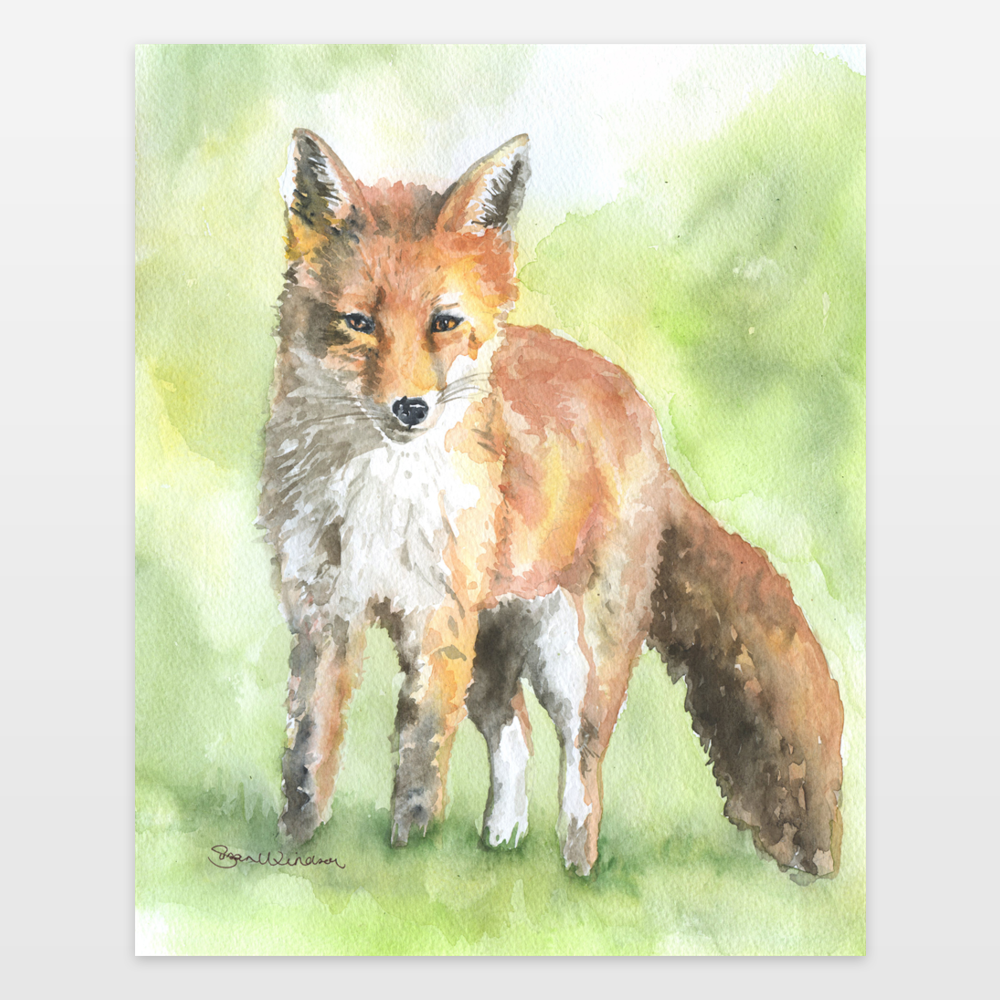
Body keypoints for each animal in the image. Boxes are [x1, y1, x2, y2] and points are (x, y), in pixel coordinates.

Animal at [259, 129, 845, 878]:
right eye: (358, 323)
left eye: (444, 323)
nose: (411, 408)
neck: (374, 494)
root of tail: (640, 412)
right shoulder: (322, 613)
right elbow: (307, 754)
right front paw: (295, 849)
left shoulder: (436, 622)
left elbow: (419, 759)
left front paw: (409, 864)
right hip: (491, 647)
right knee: (516, 733)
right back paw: (501, 839)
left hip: (576, 656)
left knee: (581, 762)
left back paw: (577, 868)